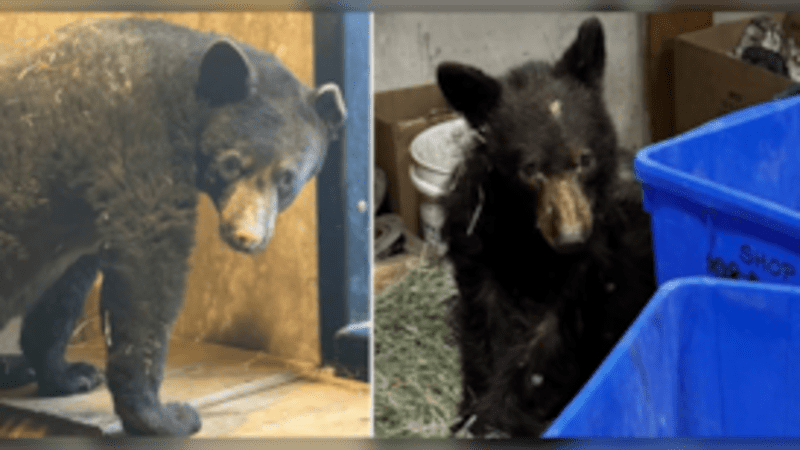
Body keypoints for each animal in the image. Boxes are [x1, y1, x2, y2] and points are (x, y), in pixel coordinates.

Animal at [0, 18, 346, 436]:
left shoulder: (79, 212)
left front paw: (69, 374)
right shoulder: (140, 154)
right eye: (231, 163)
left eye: (287, 178)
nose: (246, 236)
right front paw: (164, 416)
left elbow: (66, 287)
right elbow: (148, 270)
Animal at [435, 17, 656, 437]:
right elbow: (485, 326)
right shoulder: (477, 239)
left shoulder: (595, 264)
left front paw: (495, 417)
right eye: (529, 169)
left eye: (584, 160)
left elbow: (553, 343)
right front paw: (473, 412)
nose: (571, 238)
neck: (529, 236)